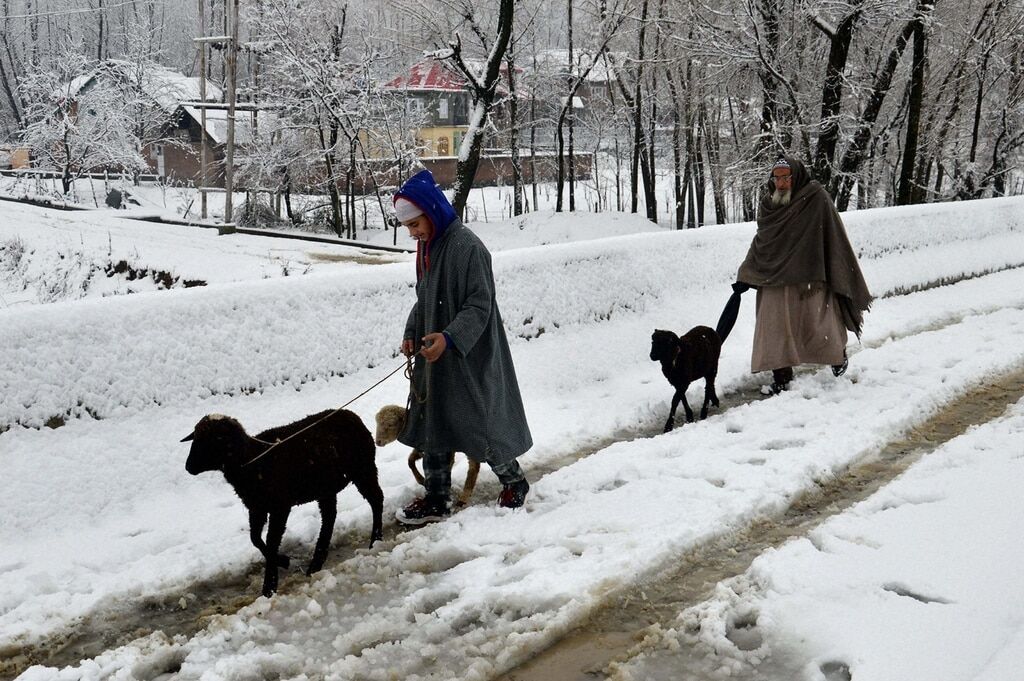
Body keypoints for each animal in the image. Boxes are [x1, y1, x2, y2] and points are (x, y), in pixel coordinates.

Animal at [180, 409, 385, 593]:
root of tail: (352, 416)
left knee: (376, 500)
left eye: (216, 438)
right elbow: (255, 539)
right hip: (326, 486)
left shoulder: (280, 506)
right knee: (329, 517)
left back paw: (375, 541)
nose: (188, 467)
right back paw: (316, 563)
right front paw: (282, 562)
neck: (253, 459)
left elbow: (271, 541)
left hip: (363, 468)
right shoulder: (256, 507)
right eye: (196, 437)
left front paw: (269, 585)